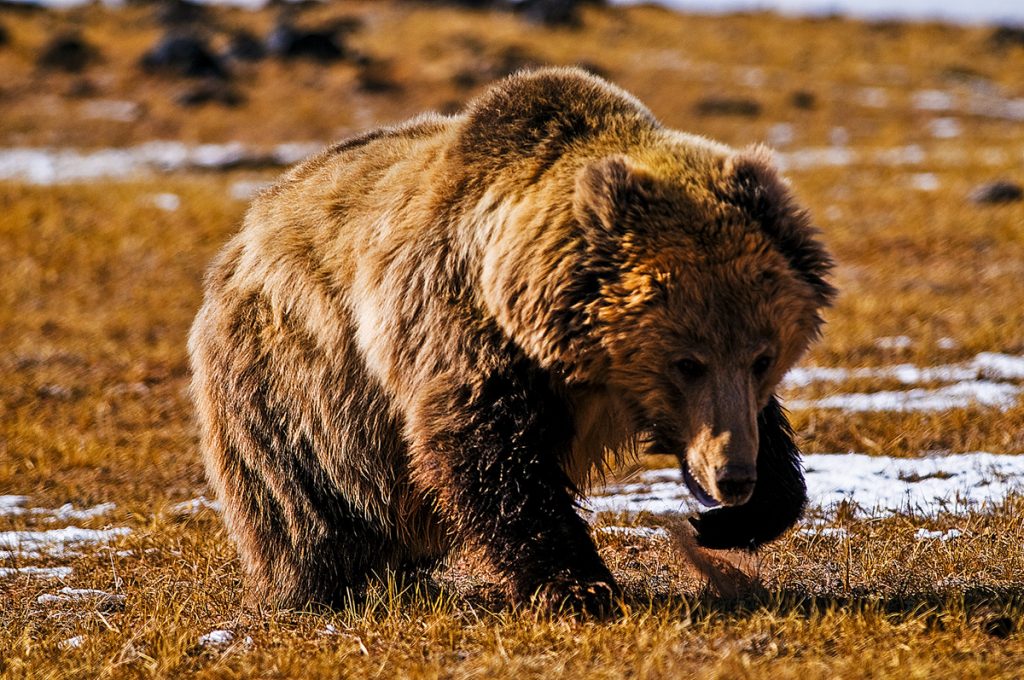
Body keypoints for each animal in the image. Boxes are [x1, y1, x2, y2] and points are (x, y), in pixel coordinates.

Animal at [188, 67, 834, 613]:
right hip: (294, 388)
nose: (733, 477)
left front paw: (741, 516)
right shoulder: (466, 336)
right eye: (686, 362)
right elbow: (493, 460)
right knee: (302, 502)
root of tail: (244, 232)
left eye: (763, 357)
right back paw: (314, 585)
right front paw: (579, 585)